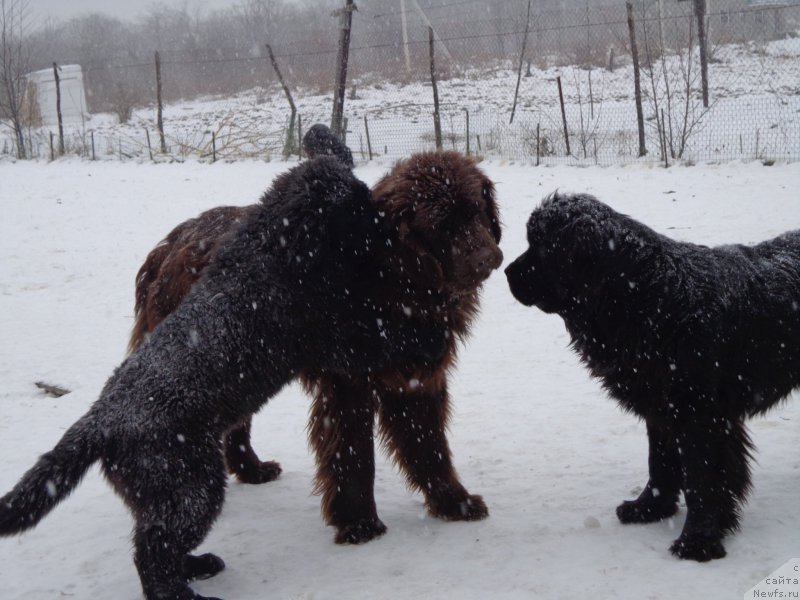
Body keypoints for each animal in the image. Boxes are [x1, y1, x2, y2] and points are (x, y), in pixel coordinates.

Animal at [0, 157, 444, 596]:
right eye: (362, 208)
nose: (391, 226)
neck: (273, 249)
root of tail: (98, 422)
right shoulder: (332, 335)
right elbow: (384, 336)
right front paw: (429, 335)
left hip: (162, 494)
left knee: (154, 541)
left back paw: (199, 566)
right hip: (191, 488)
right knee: (153, 551)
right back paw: (185, 590)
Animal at [132, 151, 504, 544]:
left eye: (477, 210)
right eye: (441, 226)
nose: (489, 258)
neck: (390, 276)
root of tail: (169, 243)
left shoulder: (417, 379)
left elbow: (430, 446)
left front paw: (454, 504)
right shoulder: (348, 385)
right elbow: (355, 455)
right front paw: (359, 523)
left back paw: (252, 470)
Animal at [506, 192, 800, 564]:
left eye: (542, 246)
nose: (507, 272)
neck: (650, 300)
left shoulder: (701, 415)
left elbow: (703, 478)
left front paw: (697, 541)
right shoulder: (660, 409)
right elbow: (659, 463)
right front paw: (649, 508)